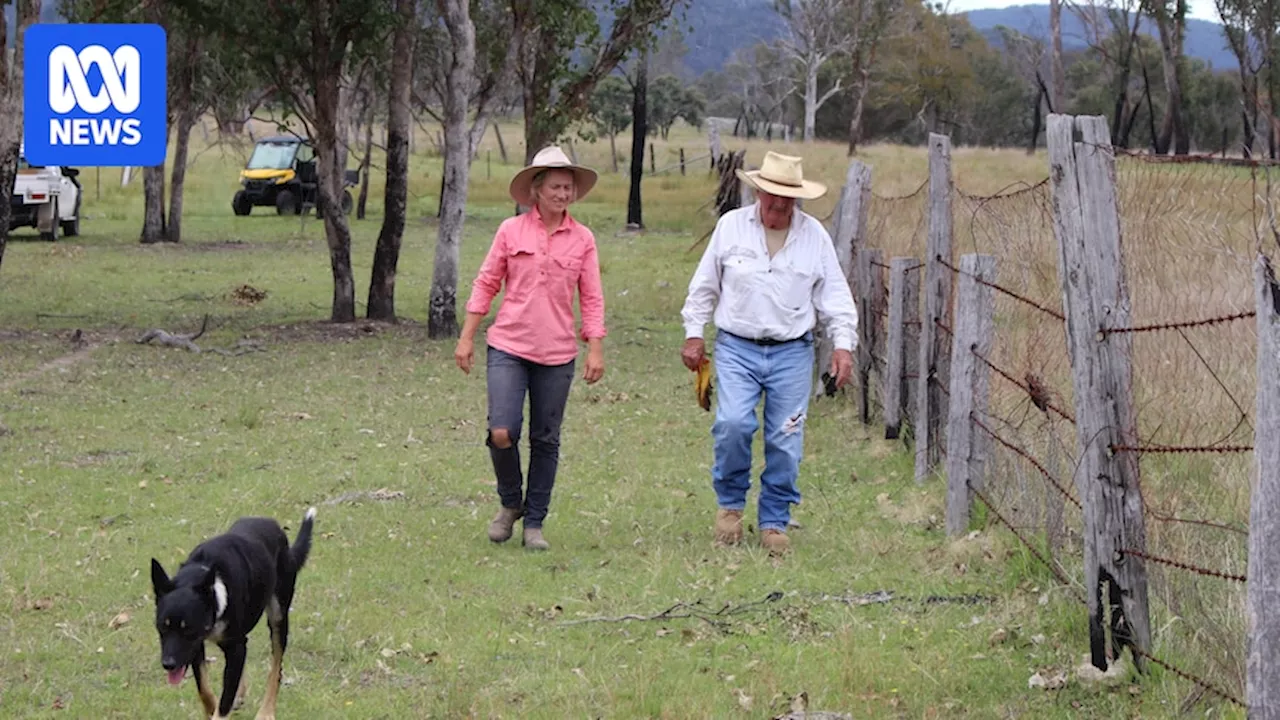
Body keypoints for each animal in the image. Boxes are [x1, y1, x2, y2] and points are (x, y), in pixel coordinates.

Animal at [150, 504, 317, 717]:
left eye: (188, 630)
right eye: (162, 627)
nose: (168, 664)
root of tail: (276, 528)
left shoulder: (228, 645)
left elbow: (223, 703)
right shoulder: (197, 647)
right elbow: (205, 691)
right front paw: (213, 706)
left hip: (278, 616)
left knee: (276, 668)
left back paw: (266, 711)